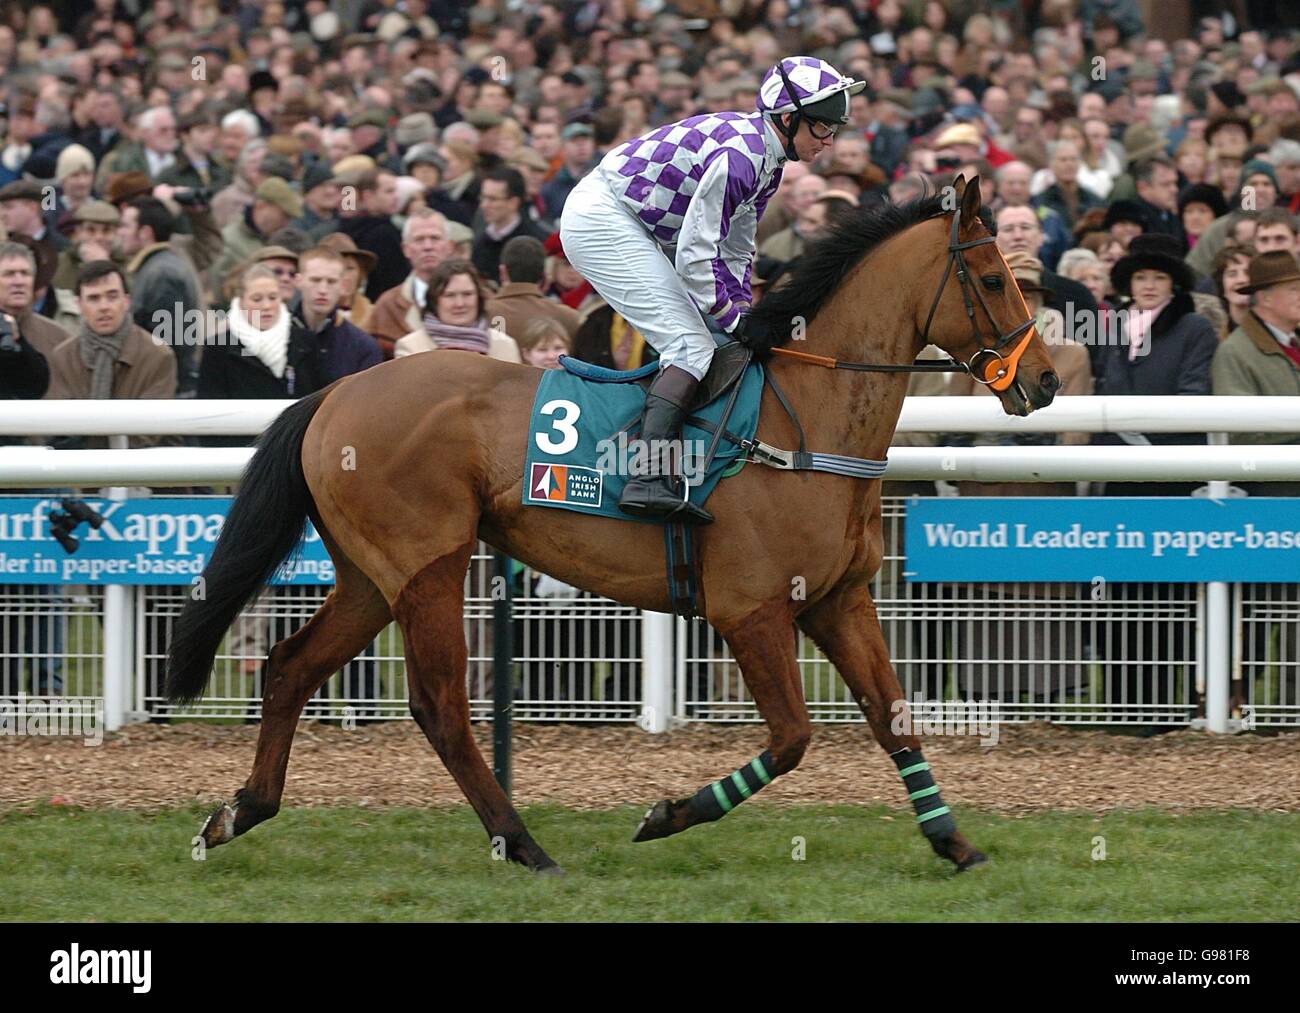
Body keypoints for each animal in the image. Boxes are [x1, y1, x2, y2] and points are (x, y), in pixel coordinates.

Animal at [165, 174, 1055, 873]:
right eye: (991, 277)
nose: (1043, 381)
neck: (807, 422)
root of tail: (333, 393)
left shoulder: (842, 599)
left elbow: (894, 717)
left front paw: (955, 843)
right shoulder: (751, 610)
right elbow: (794, 737)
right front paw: (668, 814)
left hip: (370, 576)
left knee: (291, 666)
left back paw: (237, 812)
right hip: (426, 567)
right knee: (440, 705)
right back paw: (525, 844)